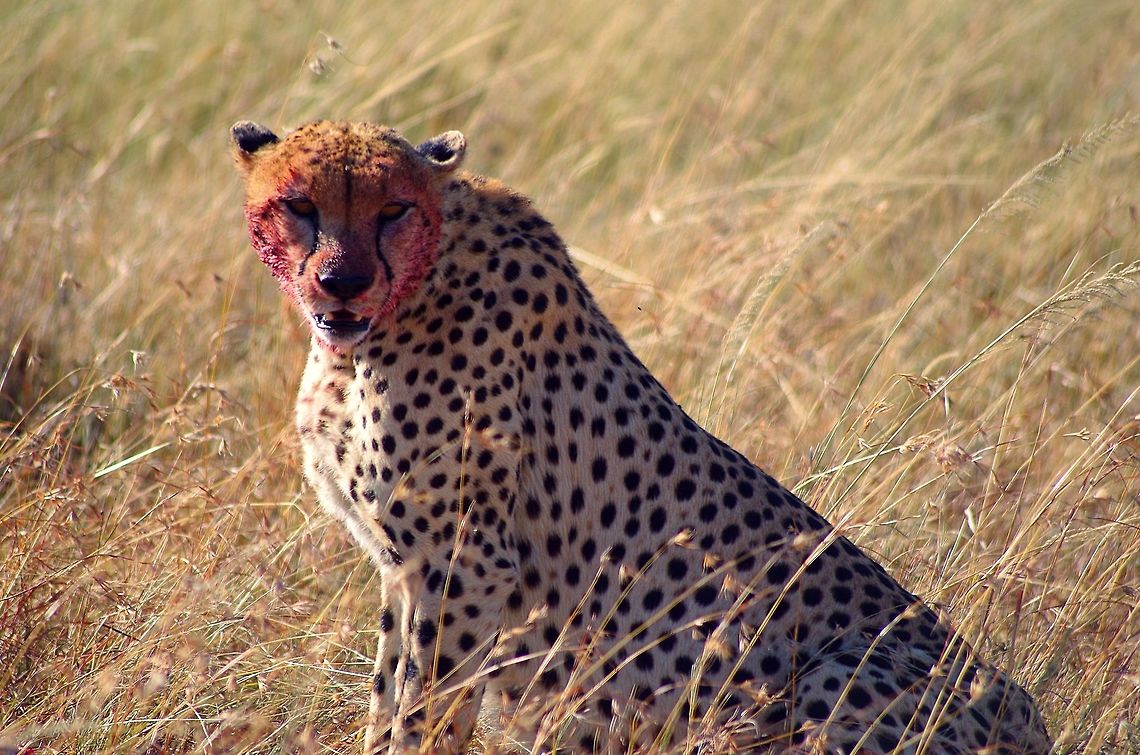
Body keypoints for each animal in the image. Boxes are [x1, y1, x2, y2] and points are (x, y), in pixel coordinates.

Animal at [230, 119, 1052, 754]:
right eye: (299, 205)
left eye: (396, 208)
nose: (342, 283)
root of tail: (1033, 721)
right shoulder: (403, 564)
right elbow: (389, 695)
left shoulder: (462, 559)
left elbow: (426, 709)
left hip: (837, 673)